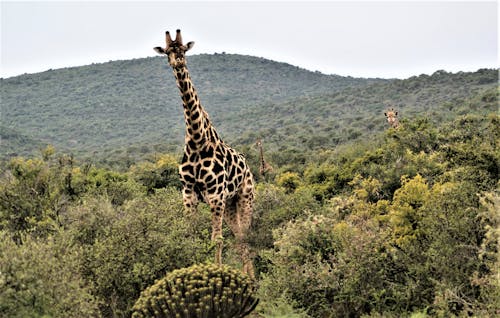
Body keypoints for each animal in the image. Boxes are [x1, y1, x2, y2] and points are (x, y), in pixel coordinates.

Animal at [154, 30, 256, 278]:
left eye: (183, 50)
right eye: (168, 52)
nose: (178, 62)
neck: (197, 140)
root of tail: (249, 167)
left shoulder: (215, 195)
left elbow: (216, 239)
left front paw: (216, 273)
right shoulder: (189, 194)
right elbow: (189, 236)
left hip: (245, 197)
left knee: (245, 236)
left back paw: (252, 280)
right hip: (230, 205)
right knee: (239, 237)